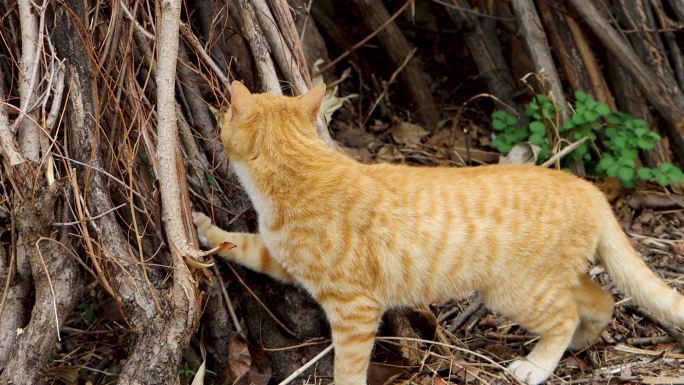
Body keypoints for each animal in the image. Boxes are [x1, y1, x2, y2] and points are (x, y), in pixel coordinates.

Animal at [194, 82, 684, 384]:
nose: (216, 116)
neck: (301, 169)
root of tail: (585, 186)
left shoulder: (355, 307)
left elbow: (349, 365)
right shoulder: (280, 258)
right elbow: (244, 244)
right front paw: (206, 231)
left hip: (514, 291)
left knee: (565, 316)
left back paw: (538, 365)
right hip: (546, 279)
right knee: (599, 301)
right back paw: (581, 342)